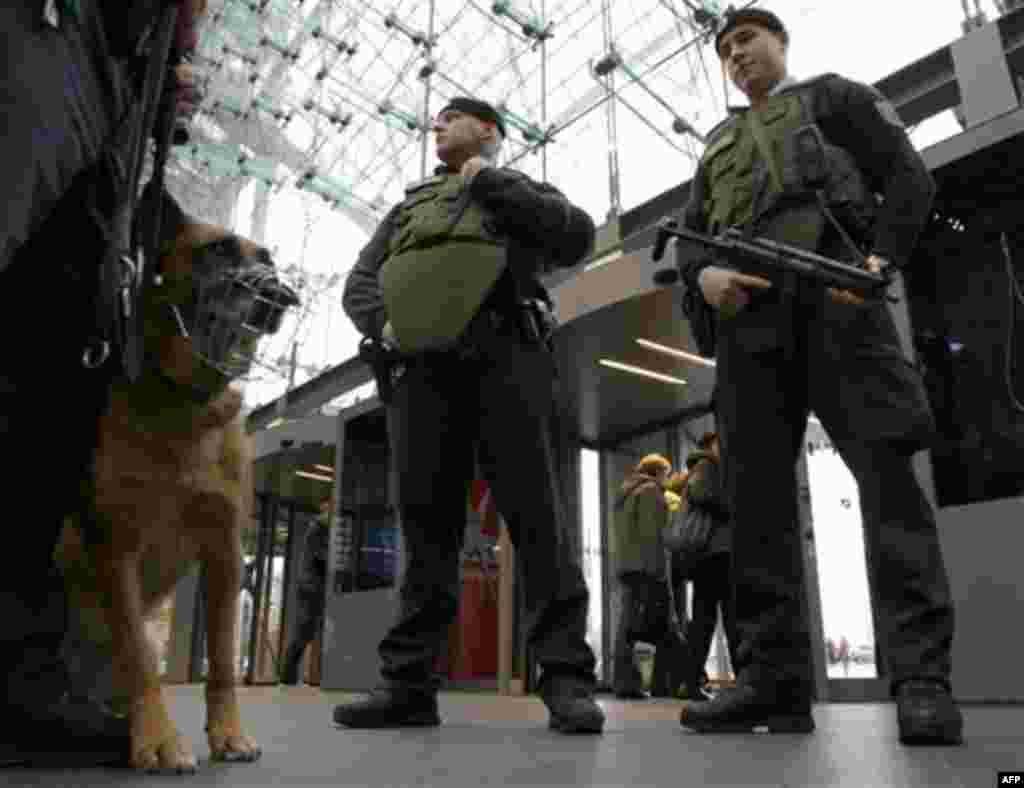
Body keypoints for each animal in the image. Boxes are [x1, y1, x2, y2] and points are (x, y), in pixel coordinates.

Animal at [53, 182, 299, 769]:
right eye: (217, 250)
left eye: (268, 260)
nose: (280, 295)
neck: (187, 406)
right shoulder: (117, 548)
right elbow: (140, 657)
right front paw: (158, 738)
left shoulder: (226, 552)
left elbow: (224, 660)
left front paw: (228, 734)